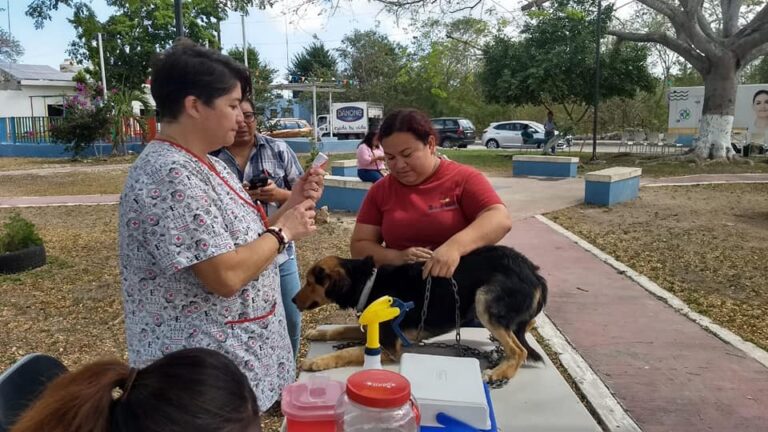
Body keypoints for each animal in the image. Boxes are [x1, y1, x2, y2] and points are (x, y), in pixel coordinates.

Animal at [292, 245, 548, 384]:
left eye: (310, 282)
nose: (293, 301)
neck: (366, 283)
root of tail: (533, 272)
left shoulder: (390, 348)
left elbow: (347, 352)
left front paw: (316, 361)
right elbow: (340, 329)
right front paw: (317, 333)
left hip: (484, 299)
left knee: (520, 350)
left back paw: (499, 373)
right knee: (525, 328)